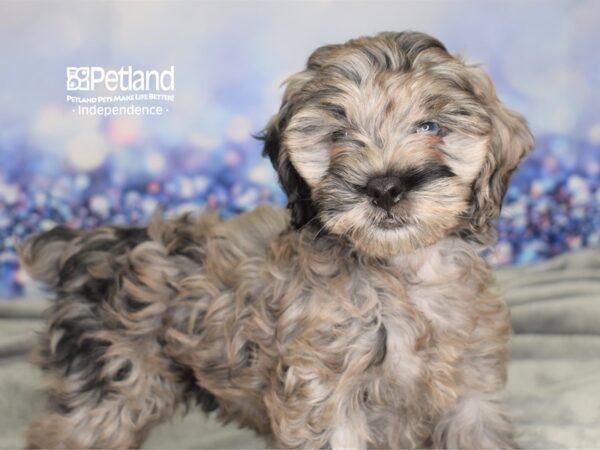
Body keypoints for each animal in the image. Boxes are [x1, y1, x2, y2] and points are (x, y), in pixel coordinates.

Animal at [19, 32, 536, 450]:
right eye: (338, 135)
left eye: (431, 127)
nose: (385, 187)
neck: (400, 272)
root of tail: (90, 244)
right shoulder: (325, 395)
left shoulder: (470, 393)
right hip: (108, 388)